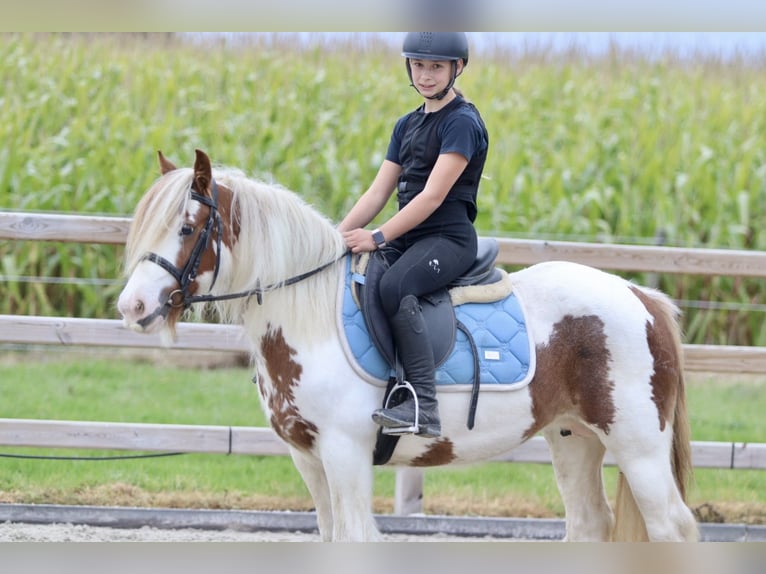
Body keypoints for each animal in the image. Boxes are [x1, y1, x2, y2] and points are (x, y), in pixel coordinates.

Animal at [117, 150, 700, 544]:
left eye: (187, 228)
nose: (132, 307)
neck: (310, 321)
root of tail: (640, 296)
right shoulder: (307, 458)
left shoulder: (345, 453)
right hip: (574, 438)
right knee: (588, 524)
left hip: (639, 448)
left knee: (672, 528)